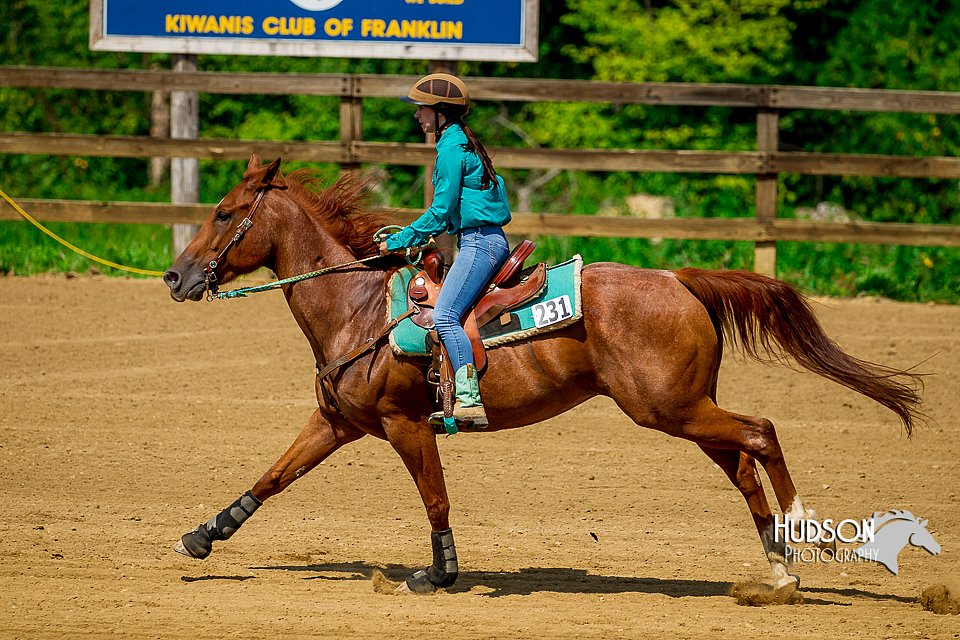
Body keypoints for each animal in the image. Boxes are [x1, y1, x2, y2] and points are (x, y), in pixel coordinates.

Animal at [163, 158, 924, 596]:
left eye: (224, 214)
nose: (175, 277)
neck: (358, 308)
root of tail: (678, 279)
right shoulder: (337, 422)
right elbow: (272, 476)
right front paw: (203, 536)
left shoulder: (408, 426)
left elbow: (435, 500)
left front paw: (439, 574)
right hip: (684, 408)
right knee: (741, 461)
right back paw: (777, 567)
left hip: (669, 408)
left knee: (761, 432)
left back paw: (805, 532)